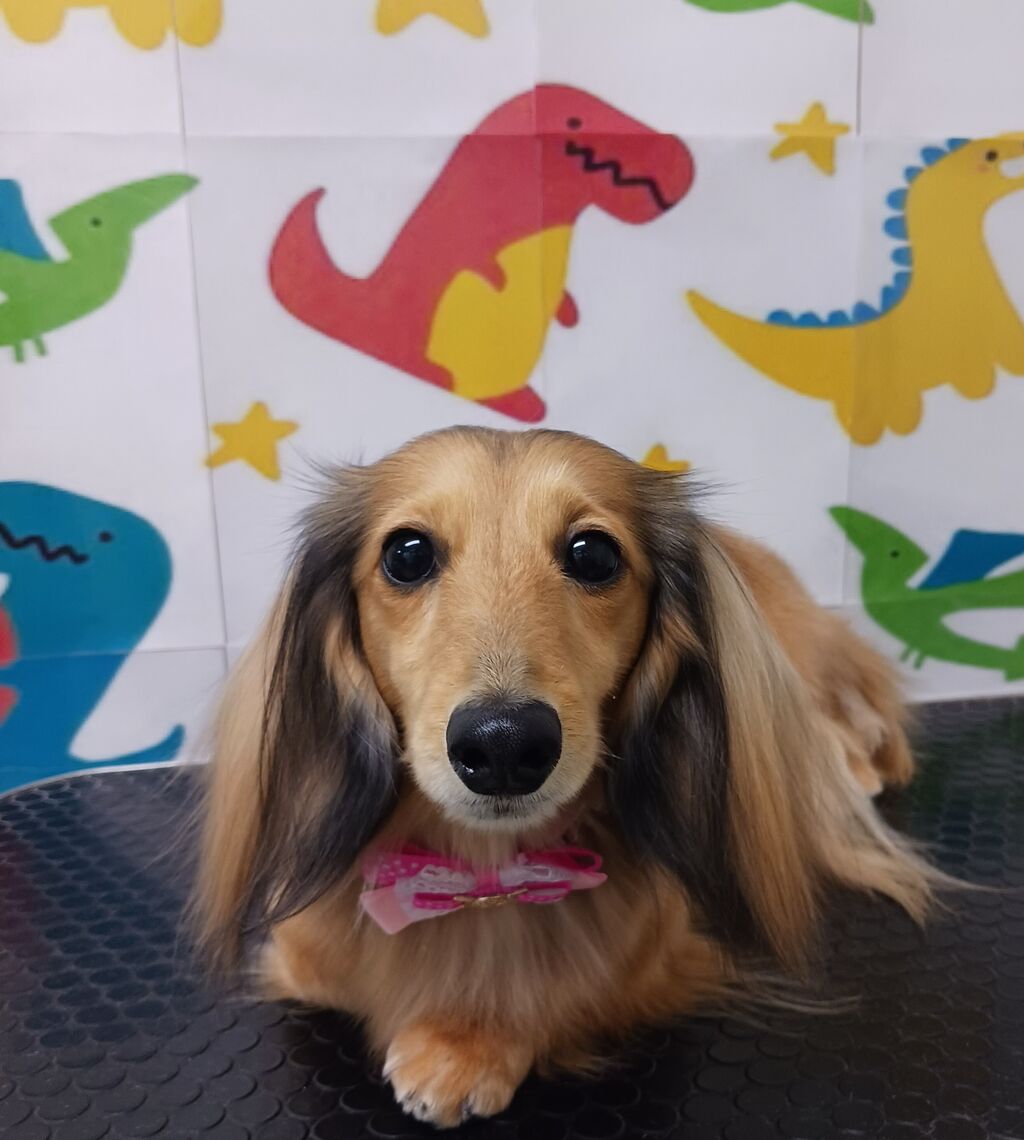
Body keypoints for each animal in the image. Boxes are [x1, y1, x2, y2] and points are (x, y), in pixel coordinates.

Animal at [194, 427, 936, 1127]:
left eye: (593, 555)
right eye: (405, 554)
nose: (503, 745)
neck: (482, 871)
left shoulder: (658, 954)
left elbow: (568, 990)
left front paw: (470, 1040)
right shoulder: (302, 956)